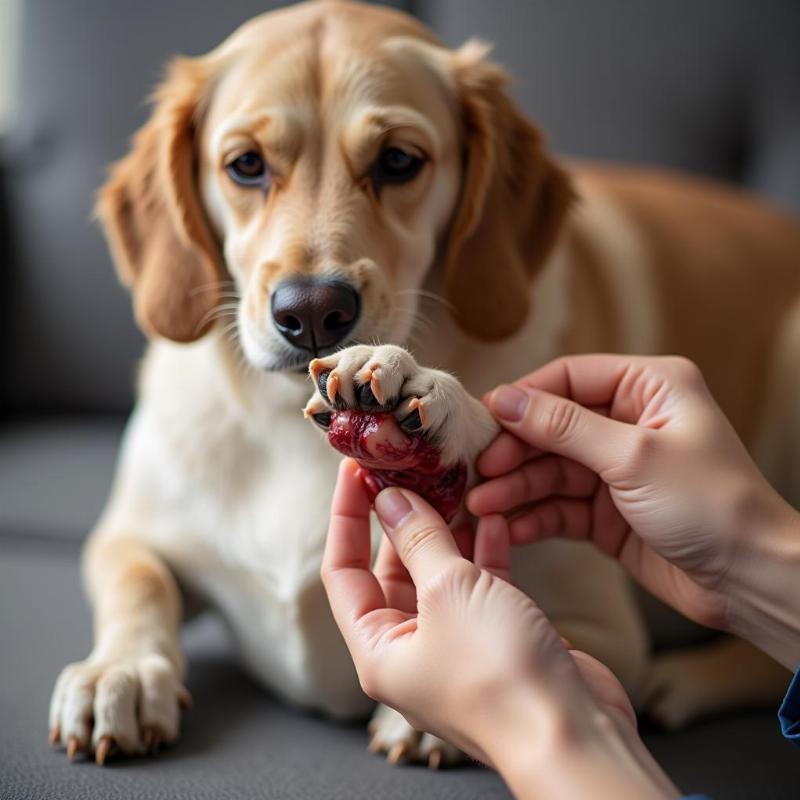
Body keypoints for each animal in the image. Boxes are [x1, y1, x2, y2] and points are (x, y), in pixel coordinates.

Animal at [48, 0, 800, 768]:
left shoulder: (606, 629)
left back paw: (685, 682)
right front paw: (123, 672)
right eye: (246, 165)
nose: (312, 311)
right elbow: (138, 583)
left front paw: (432, 394)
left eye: (399, 161)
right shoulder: (127, 536)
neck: (290, 427)